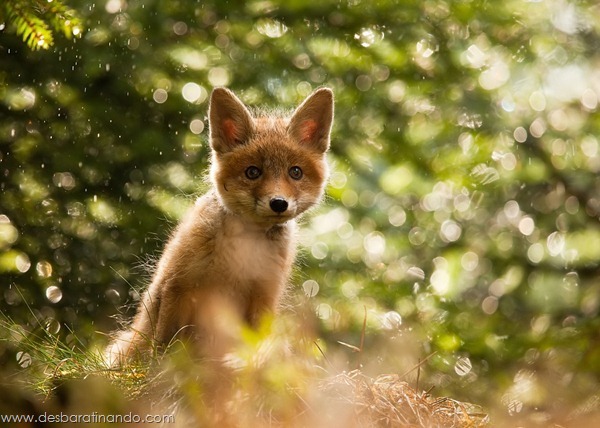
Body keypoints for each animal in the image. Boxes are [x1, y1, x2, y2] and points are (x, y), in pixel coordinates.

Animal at [106, 88, 336, 368]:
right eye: (252, 172)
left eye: (295, 172)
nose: (279, 203)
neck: (242, 250)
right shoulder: (177, 285)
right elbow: (164, 346)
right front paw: (159, 371)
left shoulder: (264, 296)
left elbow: (255, 347)